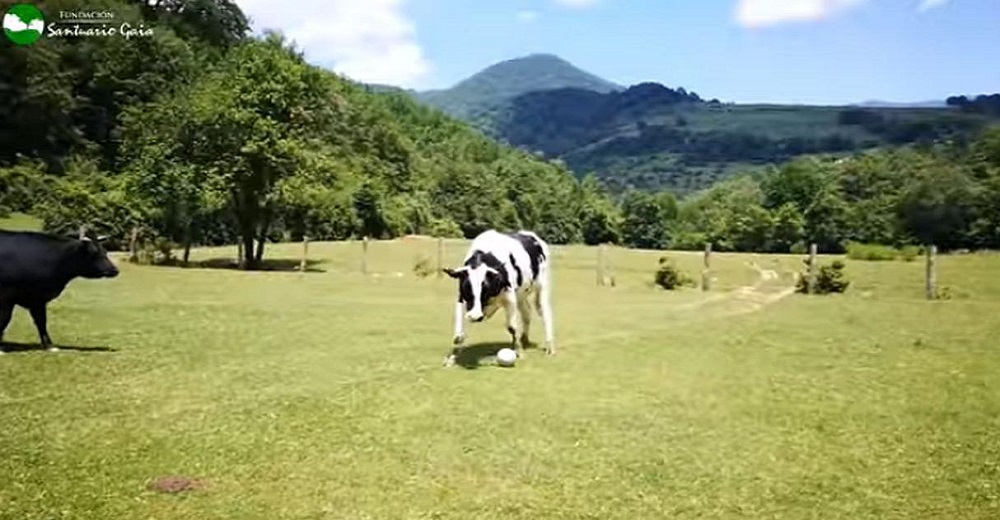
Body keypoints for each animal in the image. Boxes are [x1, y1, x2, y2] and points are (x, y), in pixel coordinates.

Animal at [444, 230, 556, 368]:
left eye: (485, 288)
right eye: (466, 287)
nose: (475, 316)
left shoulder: (510, 298)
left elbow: (511, 327)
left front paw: (518, 351)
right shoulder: (462, 300)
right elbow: (458, 335)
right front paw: (451, 359)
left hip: (543, 286)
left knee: (545, 313)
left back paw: (549, 346)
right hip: (521, 295)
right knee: (527, 313)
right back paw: (524, 339)